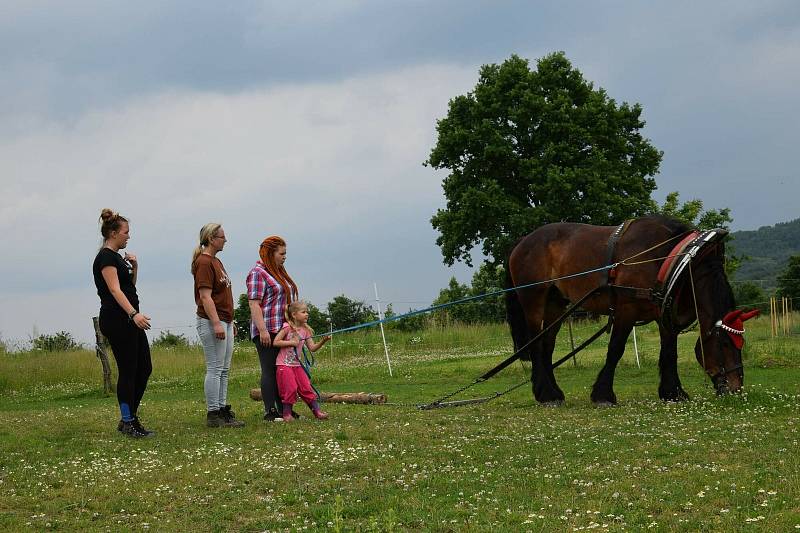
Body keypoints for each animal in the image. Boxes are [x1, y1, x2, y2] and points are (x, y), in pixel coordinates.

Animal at [504, 214, 752, 406]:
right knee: (536, 344)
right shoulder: (625, 311)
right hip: (534, 301)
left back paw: (552, 392)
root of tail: (524, 240)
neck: (671, 259)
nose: (736, 388)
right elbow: (615, 349)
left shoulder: (664, 314)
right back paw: (546, 395)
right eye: (724, 343)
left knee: (547, 345)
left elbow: (669, 352)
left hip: (556, 304)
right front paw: (603, 395)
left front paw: (673, 392)